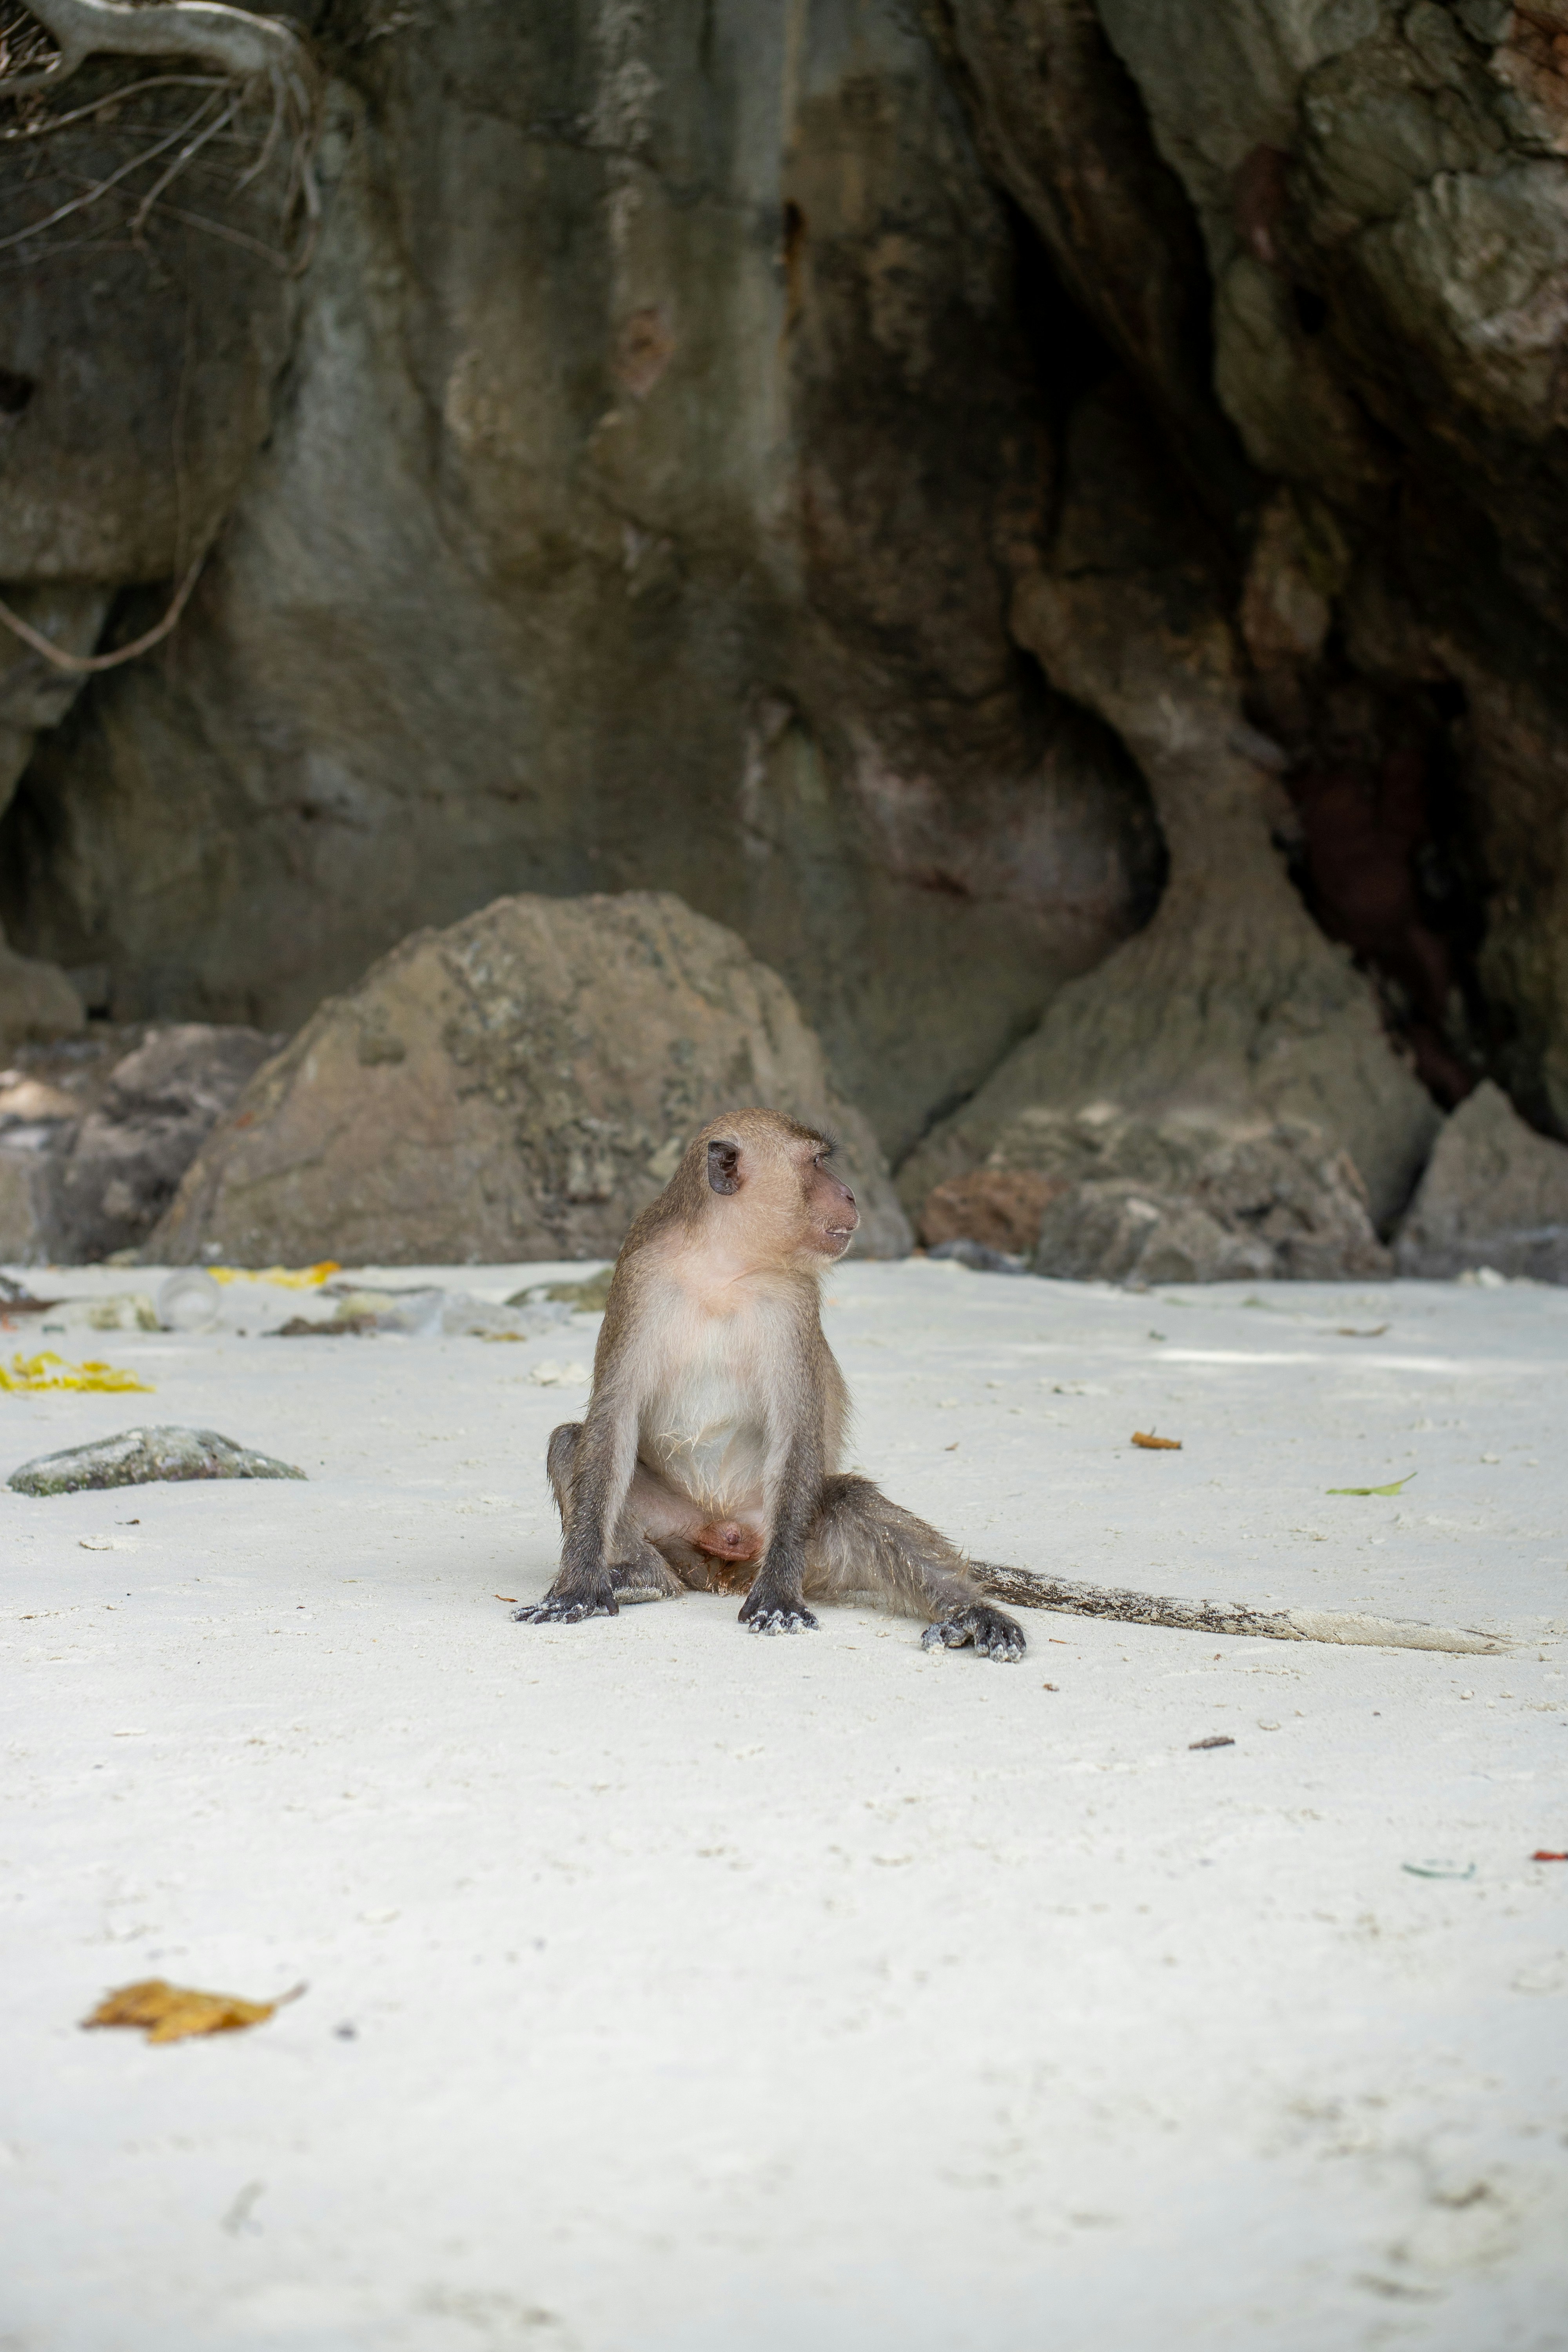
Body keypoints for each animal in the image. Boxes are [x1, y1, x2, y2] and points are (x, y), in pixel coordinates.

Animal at [513, 1106, 1027, 1659]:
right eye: (817, 1164)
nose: (850, 1194)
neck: (721, 1267)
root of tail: (728, 1552)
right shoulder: (638, 1279)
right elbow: (613, 1419)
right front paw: (579, 1587)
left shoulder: (792, 1299)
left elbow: (797, 1430)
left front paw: (779, 1597)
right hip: (681, 1534)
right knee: (571, 1443)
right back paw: (644, 1577)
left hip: (806, 1548)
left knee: (850, 1502)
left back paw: (969, 1612)